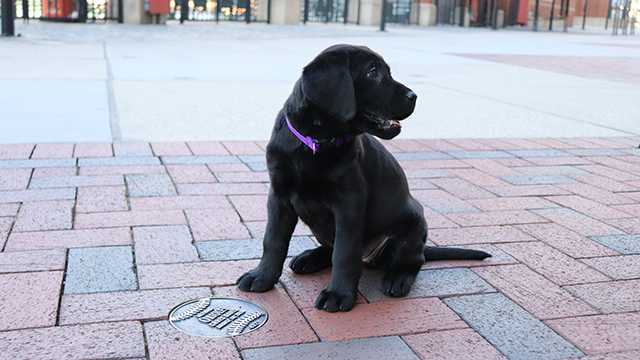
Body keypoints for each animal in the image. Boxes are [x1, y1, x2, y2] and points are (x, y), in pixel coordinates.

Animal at [236, 44, 490, 312]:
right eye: (372, 72)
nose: (414, 96)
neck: (316, 143)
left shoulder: (349, 203)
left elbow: (344, 253)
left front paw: (338, 294)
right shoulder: (278, 197)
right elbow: (273, 240)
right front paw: (262, 276)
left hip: (413, 224)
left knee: (412, 259)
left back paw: (398, 278)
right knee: (331, 247)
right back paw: (310, 258)